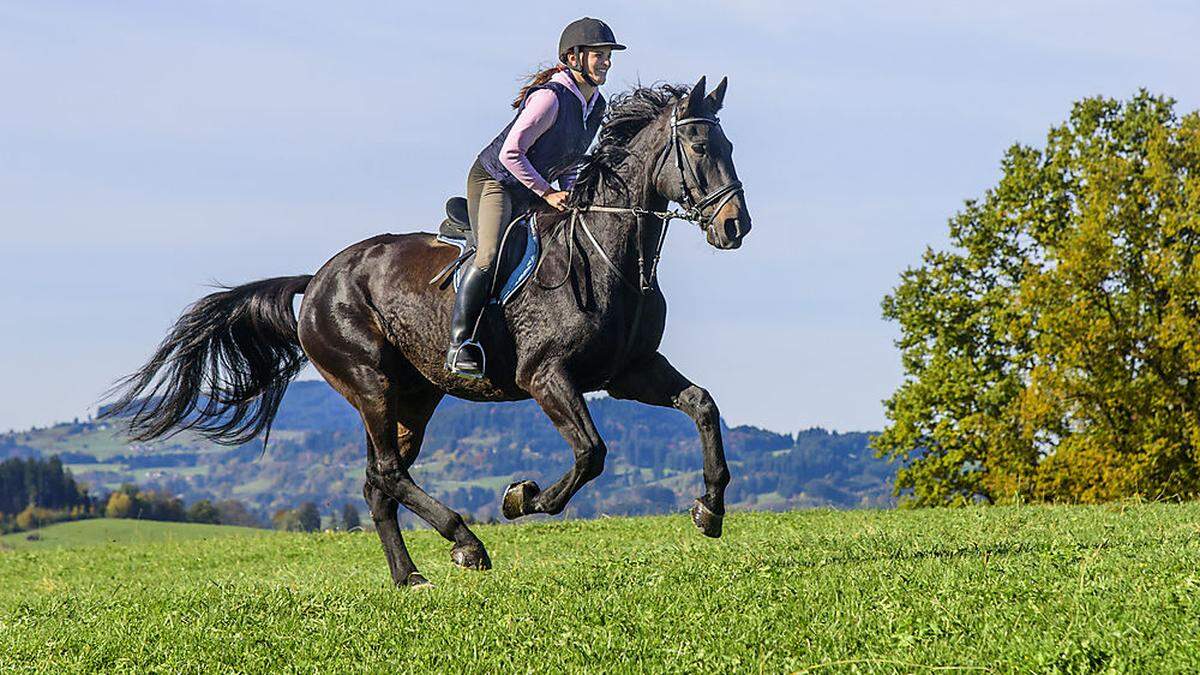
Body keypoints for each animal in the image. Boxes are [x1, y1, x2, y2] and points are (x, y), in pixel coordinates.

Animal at [110, 76, 748, 586]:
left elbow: (703, 404)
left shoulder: (629, 371)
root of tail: (317, 279)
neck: (605, 254)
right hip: (370, 382)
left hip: (415, 396)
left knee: (378, 482)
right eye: (698, 146)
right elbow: (591, 453)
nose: (735, 225)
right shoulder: (547, 376)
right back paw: (466, 543)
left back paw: (409, 575)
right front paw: (521, 499)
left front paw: (710, 509)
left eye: (730, 146)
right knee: (389, 472)